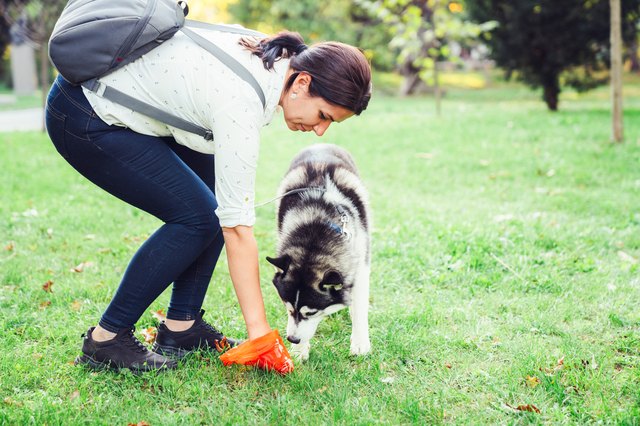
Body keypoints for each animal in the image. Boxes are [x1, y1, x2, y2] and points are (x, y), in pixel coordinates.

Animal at [268, 144, 372, 360]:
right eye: (288, 309)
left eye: (311, 313)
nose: (292, 339)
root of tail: (321, 144)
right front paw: (299, 350)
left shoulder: (360, 264)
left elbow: (360, 306)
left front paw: (360, 343)